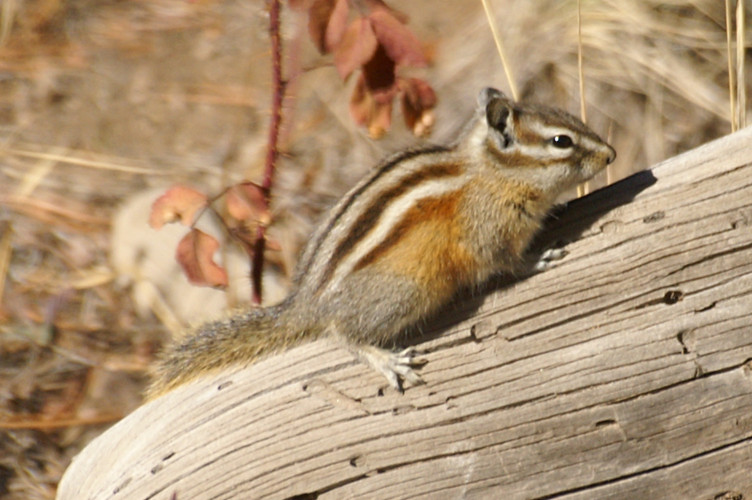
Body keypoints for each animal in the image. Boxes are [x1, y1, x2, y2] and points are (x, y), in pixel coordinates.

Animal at [147, 87, 616, 398]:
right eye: (561, 141)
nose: (611, 154)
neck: (491, 171)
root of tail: (307, 304)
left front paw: (555, 211)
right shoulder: (487, 229)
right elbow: (505, 261)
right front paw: (539, 257)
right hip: (405, 291)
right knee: (341, 332)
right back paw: (384, 360)